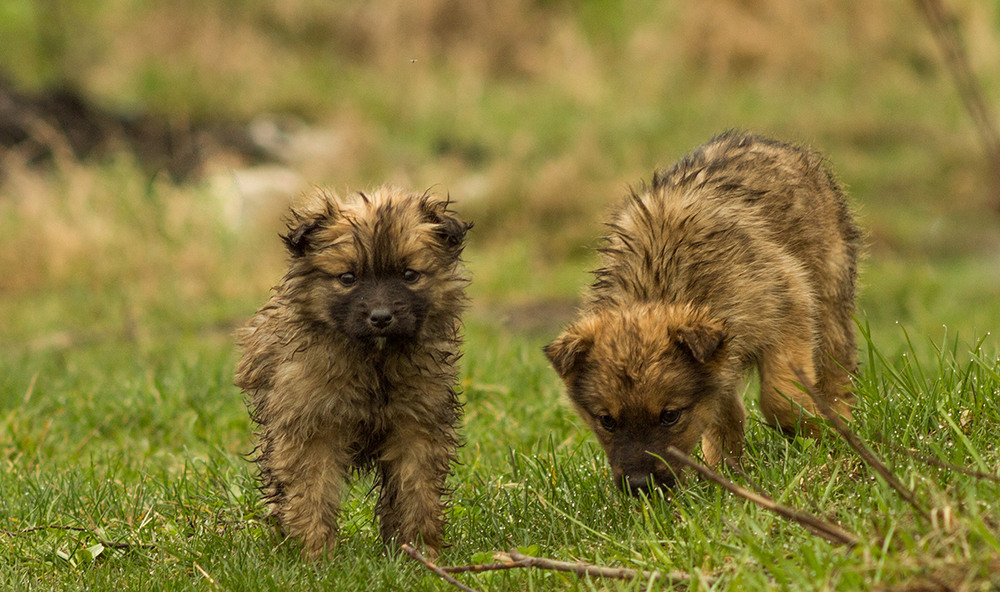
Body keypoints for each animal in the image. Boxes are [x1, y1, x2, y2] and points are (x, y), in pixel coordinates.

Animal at [235, 186, 472, 560]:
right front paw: (316, 554)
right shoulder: (310, 428)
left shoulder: (417, 425)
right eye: (348, 278)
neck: (374, 362)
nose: (381, 317)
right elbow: (311, 495)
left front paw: (420, 551)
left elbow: (417, 492)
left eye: (409, 275)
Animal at [544, 131, 864, 494]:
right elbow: (725, 414)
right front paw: (724, 472)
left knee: (838, 374)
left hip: (830, 300)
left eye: (670, 415)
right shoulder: (721, 357)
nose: (640, 485)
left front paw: (816, 435)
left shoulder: (789, 303)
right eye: (607, 420)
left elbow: (780, 398)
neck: (659, 286)